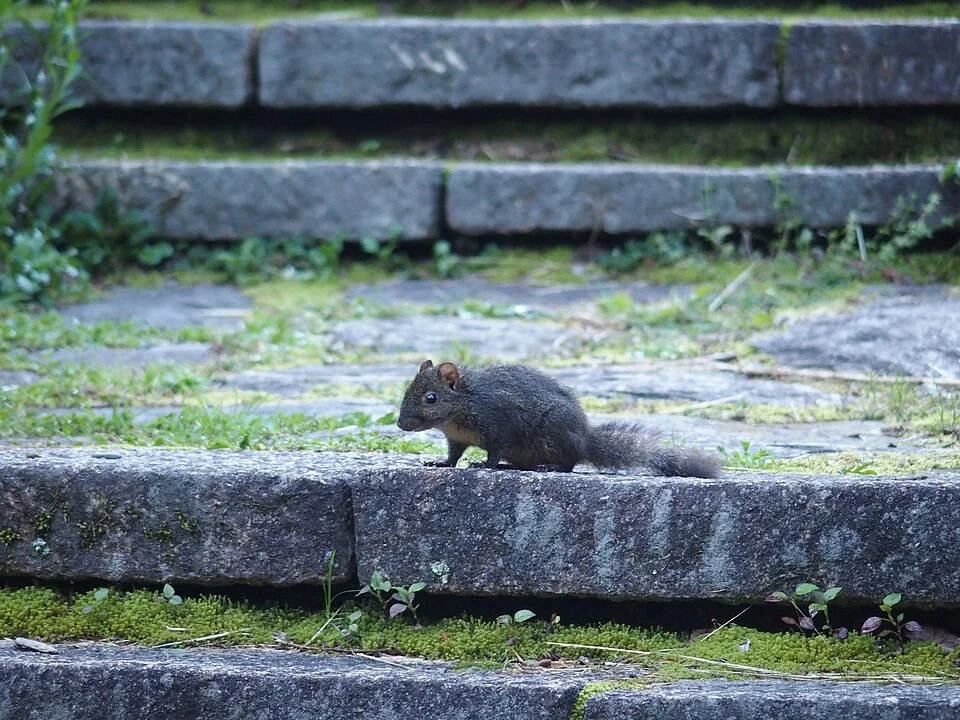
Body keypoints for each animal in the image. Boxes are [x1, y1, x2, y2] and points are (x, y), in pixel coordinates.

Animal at [397, 360, 720, 477]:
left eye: (431, 398)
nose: (401, 424)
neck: (462, 407)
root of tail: (584, 440)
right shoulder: (456, 438)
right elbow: (453, 455)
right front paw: (440, 463)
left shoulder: (500, 424)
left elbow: (494, 450)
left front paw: (484, 465)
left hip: (553, 434)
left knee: (569, 463)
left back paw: (548, 466)